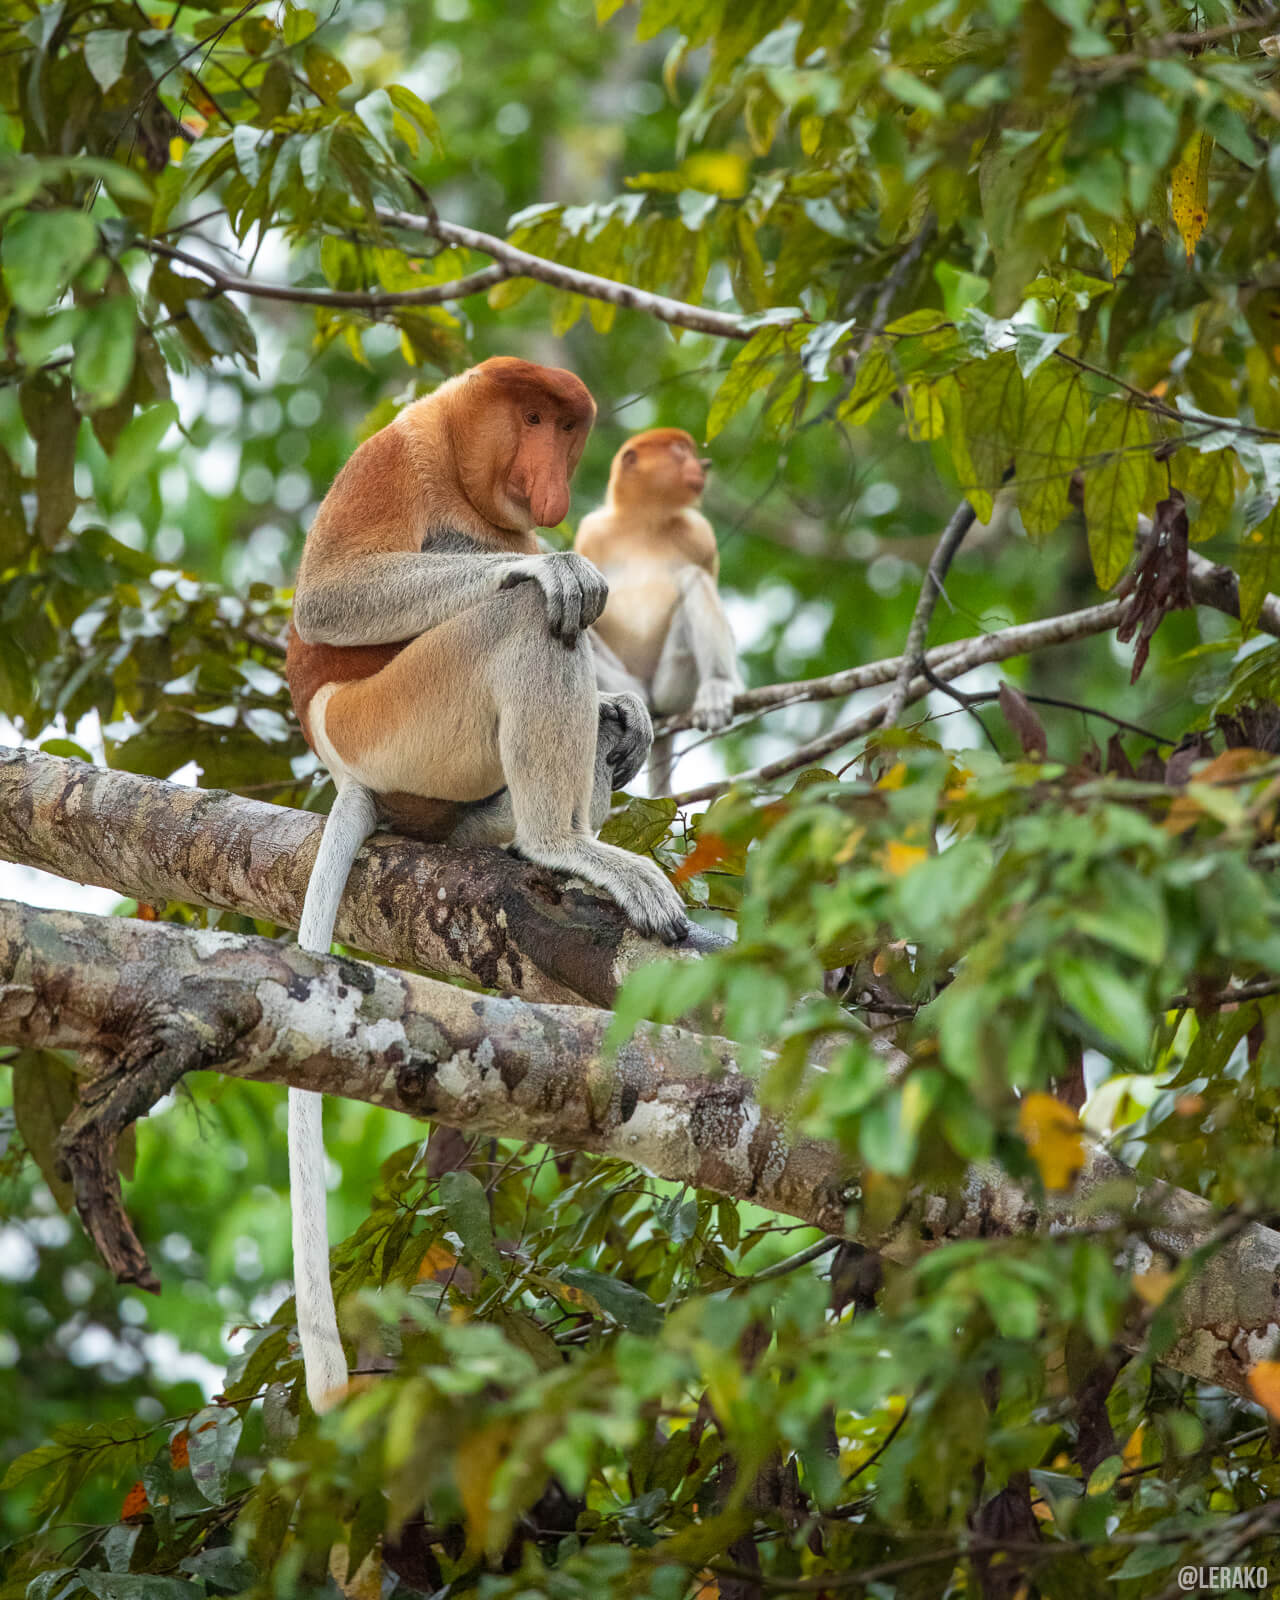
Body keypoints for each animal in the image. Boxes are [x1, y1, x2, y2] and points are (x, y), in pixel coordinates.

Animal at [281, 360, 691, 1414]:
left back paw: (554, 819)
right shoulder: (395, 455)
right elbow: (333, 599)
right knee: (524, 622)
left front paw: (627, 708)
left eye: (568, 428)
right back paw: (566, 843)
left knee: (578, 701)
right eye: (535, 419)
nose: (551, 482)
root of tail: (355, 775)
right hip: (395, 723)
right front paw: (560, 570)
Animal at [572, 428, 739, 796]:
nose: (703, 464)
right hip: (627, 679)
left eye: (689, 451)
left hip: (674, 684)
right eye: (680, 452)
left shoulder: (701, 535)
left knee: (694, 579)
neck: (644, 520)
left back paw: (717, 687)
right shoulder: (591, 532)